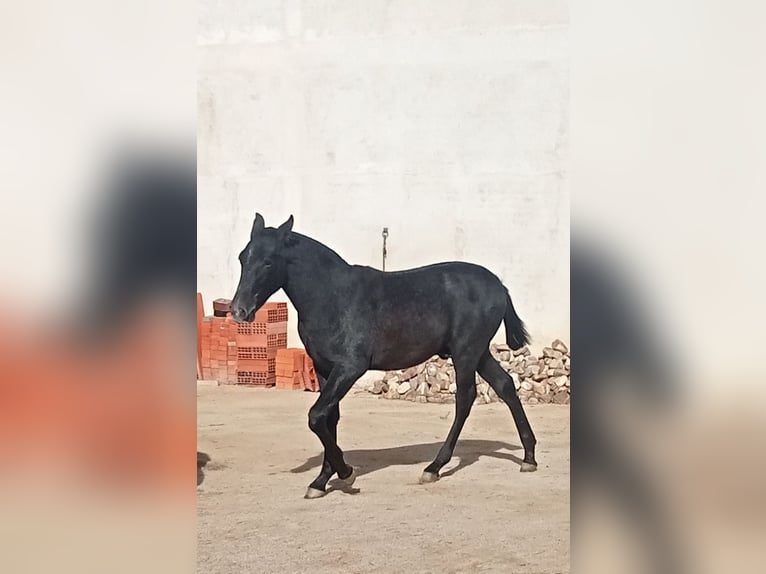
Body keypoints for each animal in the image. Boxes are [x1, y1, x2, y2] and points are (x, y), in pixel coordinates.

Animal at [231, 215, 536, 500]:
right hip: (479, 353)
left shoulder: (350, 367)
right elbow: (329, 417)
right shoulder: (324, 368)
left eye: (268, 262)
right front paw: (321, 480)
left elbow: (316, 416)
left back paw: (434, 467)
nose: (238, 311)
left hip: (466, 351)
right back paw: (529, 457)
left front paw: (346, 473)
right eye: (243, 257)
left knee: (465, 398)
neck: (333, 297)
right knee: (505, 385)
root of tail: (498, 285)